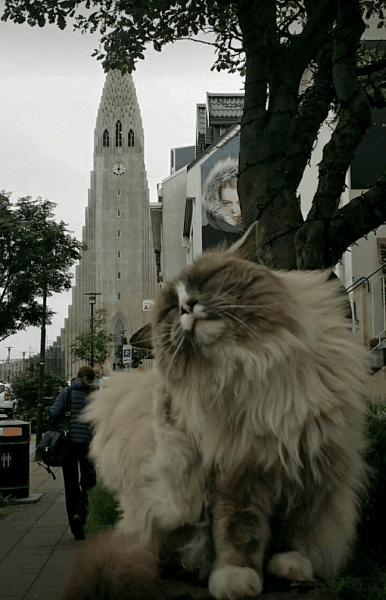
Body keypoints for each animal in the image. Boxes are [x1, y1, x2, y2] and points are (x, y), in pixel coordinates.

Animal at [59, 224, 368, 600]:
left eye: (206, 279)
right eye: (171, 308)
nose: (187, 305)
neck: (247, 362)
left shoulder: (309, 456)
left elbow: (297, 522)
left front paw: (289, 562)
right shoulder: (230, 462)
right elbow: (236, 522)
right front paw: (235, 574)